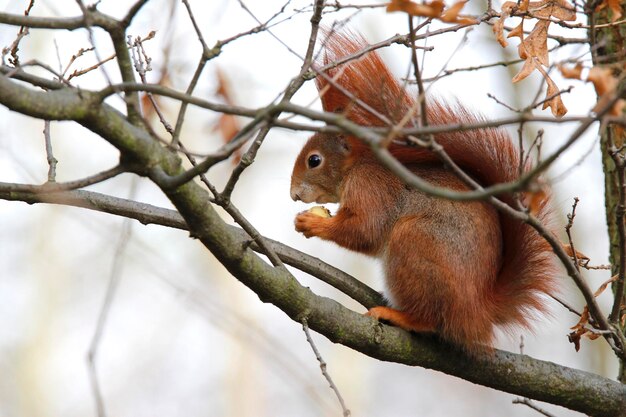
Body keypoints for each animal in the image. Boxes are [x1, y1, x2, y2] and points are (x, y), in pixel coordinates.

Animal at [290, 32, 560, 352]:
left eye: (314, 160)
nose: (293, 194)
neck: (357, 164)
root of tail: (478, 309)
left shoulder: (370, 186)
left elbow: (365, 229)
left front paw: (311, 223)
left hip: (414, 244)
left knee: (430, 318)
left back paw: (399, 316)